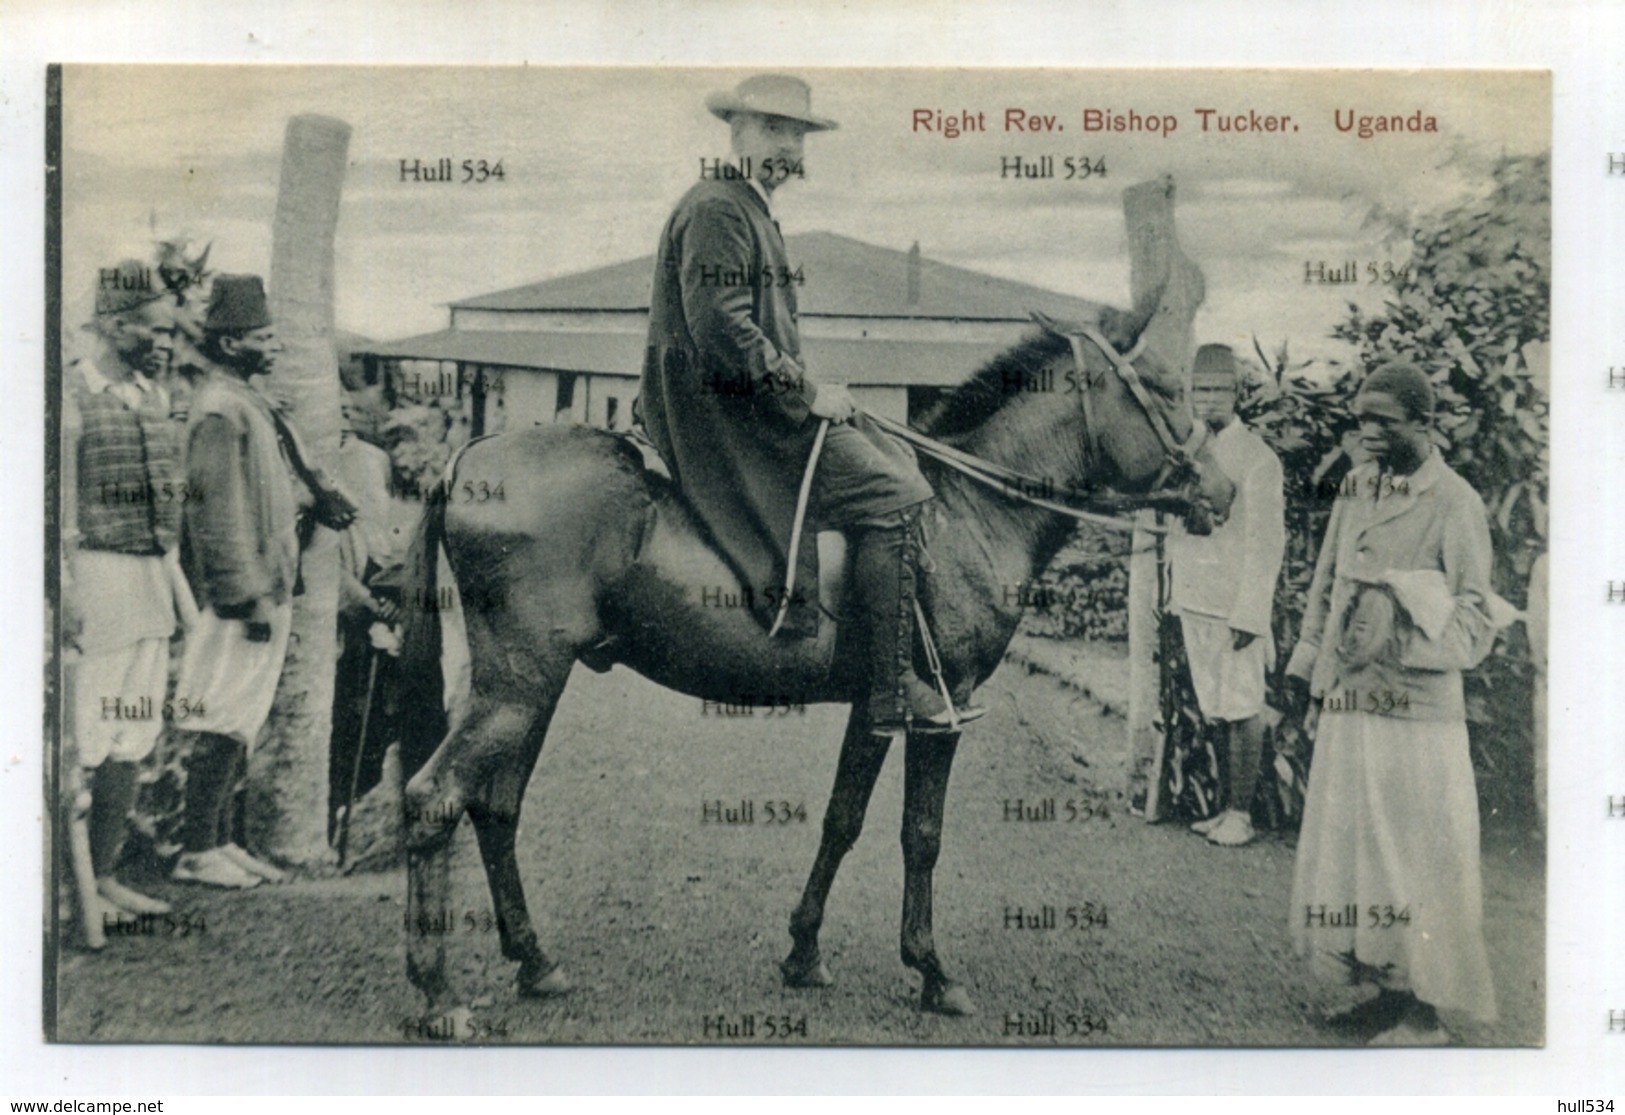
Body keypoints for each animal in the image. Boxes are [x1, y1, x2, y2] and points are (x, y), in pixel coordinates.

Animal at [393, 299, 1228, 1033]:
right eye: (1161, 388)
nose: (1221, 489)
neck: (962, 507)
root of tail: (466, 460)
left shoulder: (876, 706)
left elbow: (841, 820)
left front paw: (802, 950)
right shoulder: (944, 707)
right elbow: (920, 833)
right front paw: (932, 971)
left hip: (532, 683)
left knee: (494, 807)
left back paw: (535, 961)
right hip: (519, 682)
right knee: (434, 798)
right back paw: (437, 995)